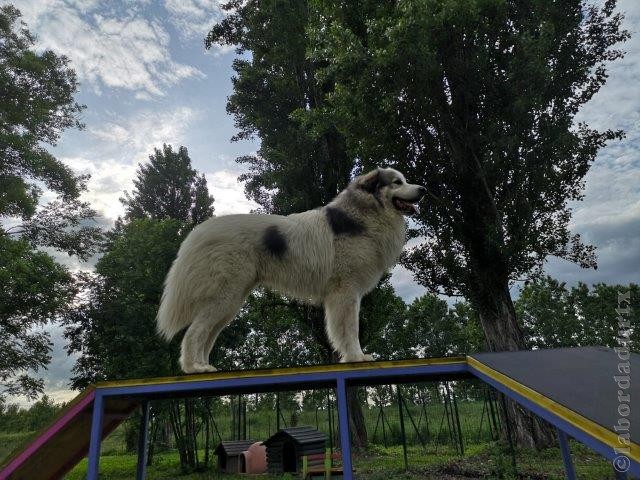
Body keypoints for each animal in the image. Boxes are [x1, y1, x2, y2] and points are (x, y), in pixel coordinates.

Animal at [156, 167, 424, 374]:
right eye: (397, 182)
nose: (422, 189)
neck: (361, 214)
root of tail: (198, 233)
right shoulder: (346, 292)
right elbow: (350, 329)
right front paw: (356, 357)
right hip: (224, 297)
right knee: (194, 333)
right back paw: (194, 368)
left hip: (231, 302)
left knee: (205, 333)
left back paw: (205, 366)